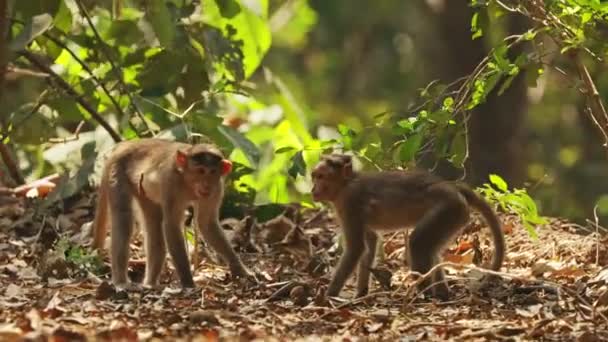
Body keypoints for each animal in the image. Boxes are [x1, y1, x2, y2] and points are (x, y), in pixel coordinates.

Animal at [91, 138, 252, 290]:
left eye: (212, 172)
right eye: (200, 171)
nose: (206, 184)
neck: (187, 182)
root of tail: (124, 146)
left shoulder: (216, 189)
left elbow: (207, 224)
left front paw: (240, 270)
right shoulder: (171, 182)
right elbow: (171, 225)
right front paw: (188, 282)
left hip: (141, 189)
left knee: (153, 223)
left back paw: (150, 283)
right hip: (117, 171)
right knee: (124, 220)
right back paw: (121, 282)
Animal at [312, 154, 506, 298]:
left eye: (321, 177)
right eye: (314, 177)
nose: (313, 189)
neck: (345, 184)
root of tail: (452, 187)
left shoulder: (350, 201)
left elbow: (356, 248)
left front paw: (329, 296)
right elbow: (370, 244)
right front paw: (360, 294)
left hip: (448, 209)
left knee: (417, 243)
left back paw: (425, 294)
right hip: (454, 215)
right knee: (430, 249)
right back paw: (442, 294)